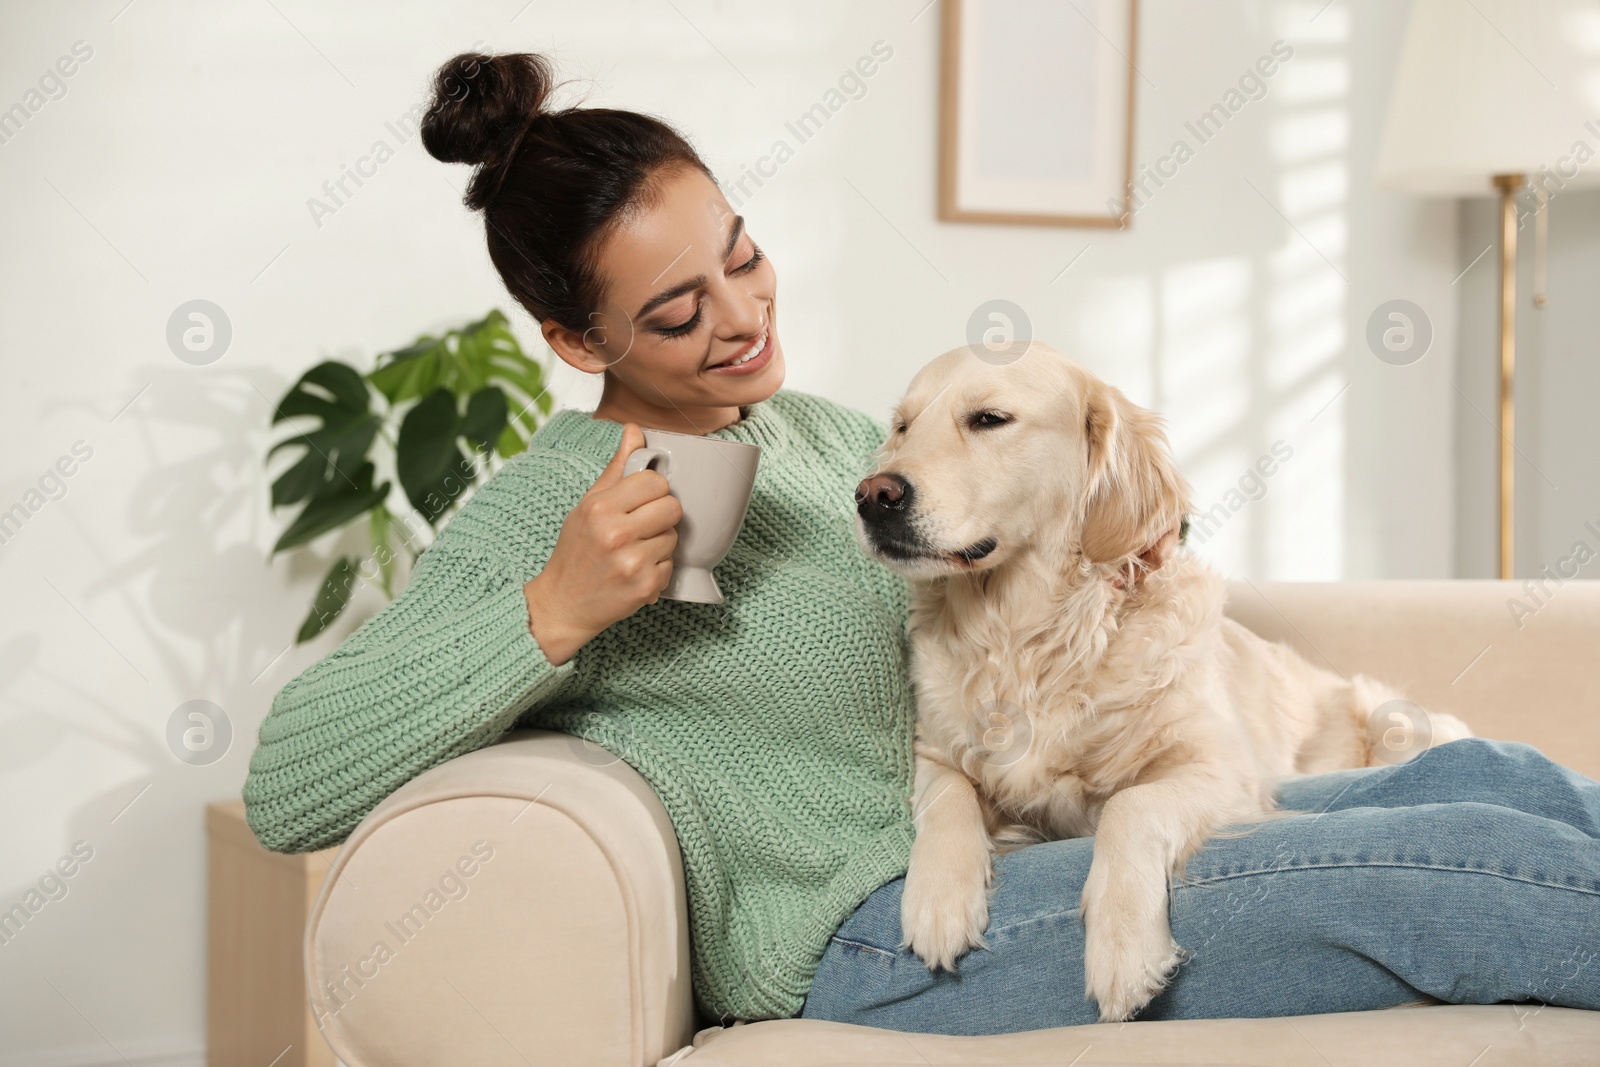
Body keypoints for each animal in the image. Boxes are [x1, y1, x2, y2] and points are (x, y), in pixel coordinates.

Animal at [857, 343, 1465, 1023]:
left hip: (1394, 720)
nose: (873, 495)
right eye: (903, 427)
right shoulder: (933, 749)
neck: (1026, 635)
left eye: (989, 419)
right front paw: (938, 898)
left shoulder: (1222, 769)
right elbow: (948, 794)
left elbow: (1131, 805)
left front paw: (1124, 947)